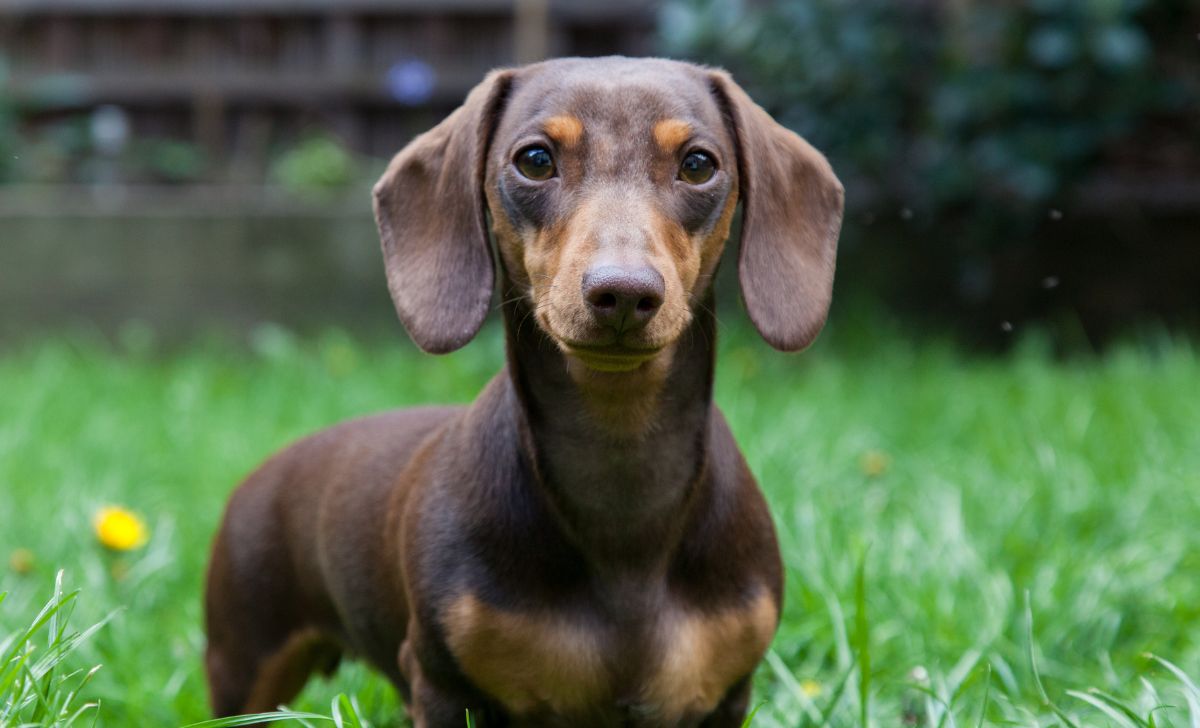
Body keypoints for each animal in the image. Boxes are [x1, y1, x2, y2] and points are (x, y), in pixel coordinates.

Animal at [204, 58, 844, 728]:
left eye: (698, 164)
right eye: (535, 159)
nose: (623, 292)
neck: (622, 492)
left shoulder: (726, 696)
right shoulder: (444, 685)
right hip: (242, 664)